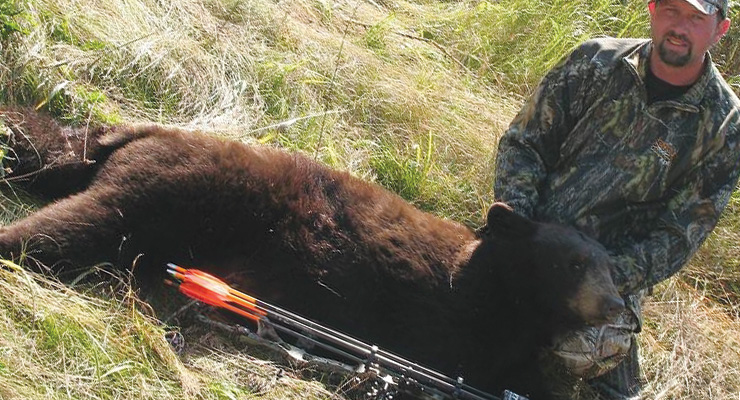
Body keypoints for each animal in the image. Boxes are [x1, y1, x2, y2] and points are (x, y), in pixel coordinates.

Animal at [0, 108, 624, 398]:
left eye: (612, 270)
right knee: (76, 226)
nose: (621, 309)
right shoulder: (452, 324)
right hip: (173, 194)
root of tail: (141, 133)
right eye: (575, 264)